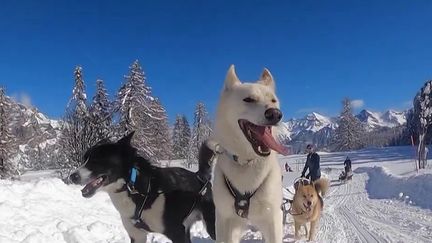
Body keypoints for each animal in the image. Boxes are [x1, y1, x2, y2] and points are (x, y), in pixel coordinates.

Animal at [69, 133, 216, 243]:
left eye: (96, 160)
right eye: (84, 159)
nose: (72, 176)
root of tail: (200, 176)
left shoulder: (176, 233)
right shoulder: (137, 235)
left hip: (212, 226)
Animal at [210, 65, 288, 242]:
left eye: (273, 100)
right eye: (249, 99)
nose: (275, 113)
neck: (247, 161)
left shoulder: (273, 217)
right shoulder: (224, 219)